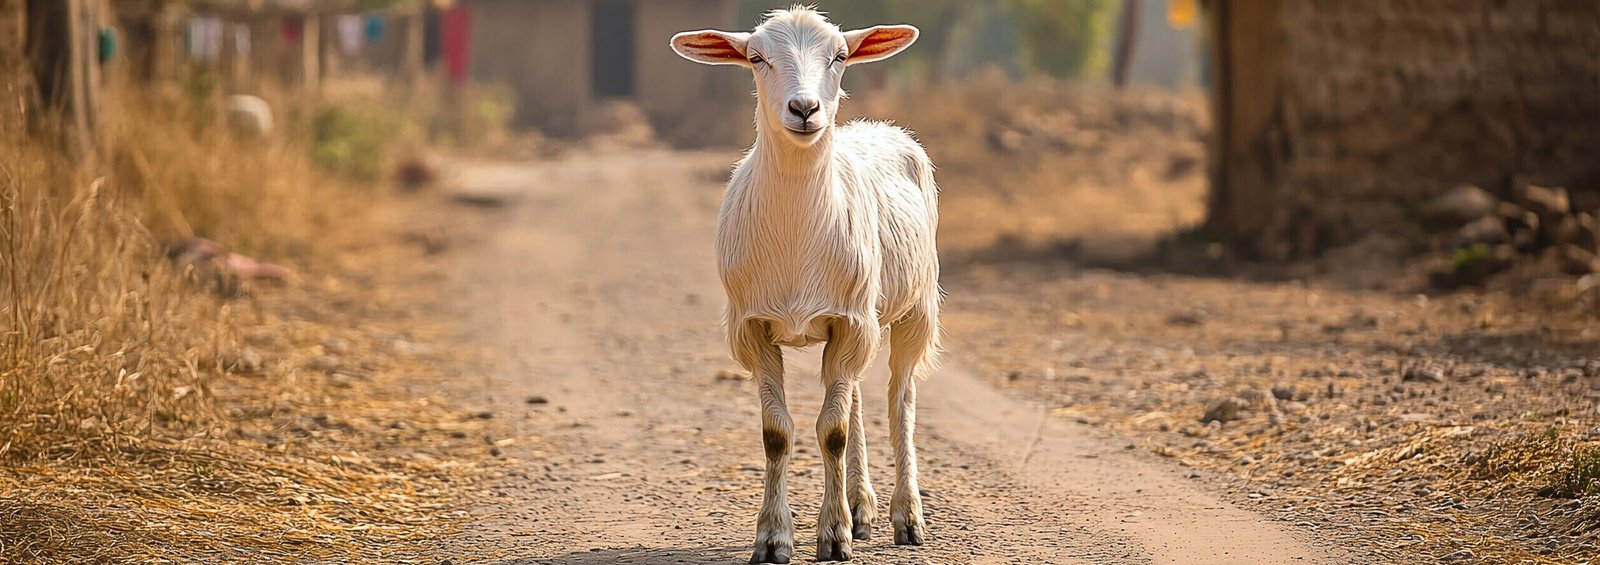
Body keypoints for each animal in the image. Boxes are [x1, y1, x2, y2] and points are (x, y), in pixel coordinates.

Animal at [671, 7, 939, 563]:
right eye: (756, 57)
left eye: (840, 55)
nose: (804, 108)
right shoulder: (751, 326)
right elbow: (777, 434)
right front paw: (774, 539)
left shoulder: (850, 320)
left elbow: (831, 432)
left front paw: (833, 536)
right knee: (855, 394)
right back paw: (862, 507)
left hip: (916, 306)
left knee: (900, 398)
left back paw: (907, 517)